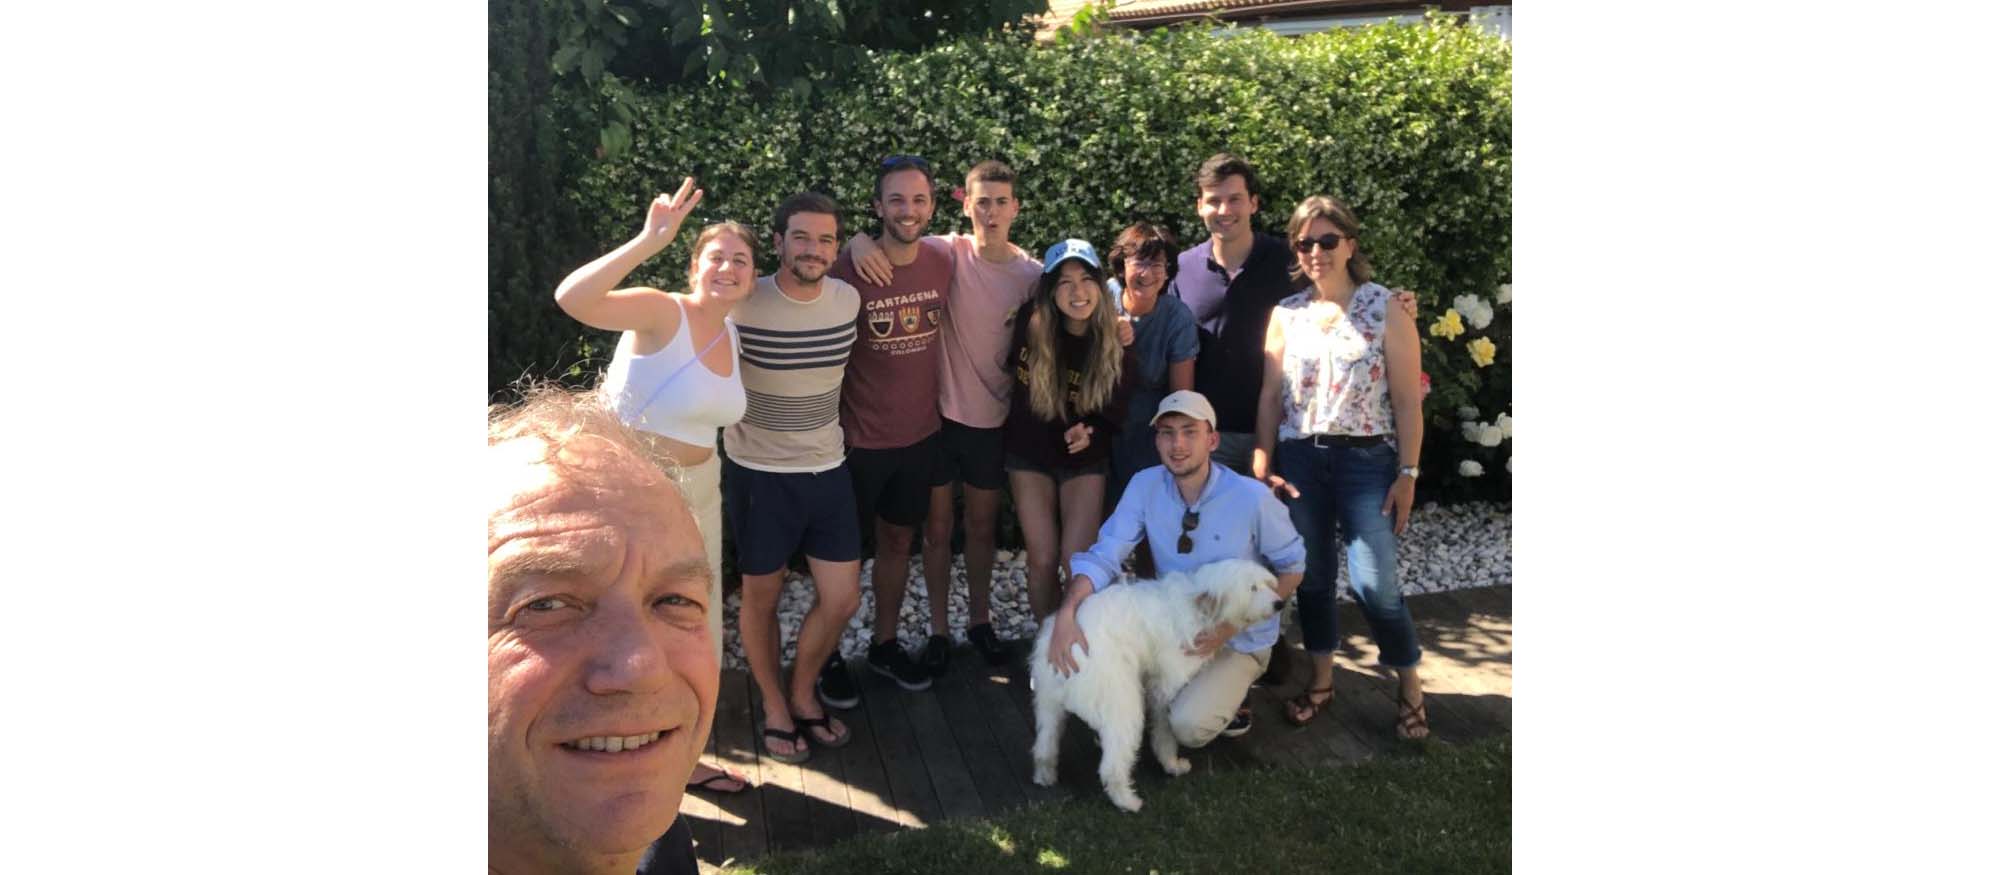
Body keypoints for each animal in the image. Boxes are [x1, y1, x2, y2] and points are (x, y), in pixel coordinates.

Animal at [1024, 555, 1288, 811]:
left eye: (1267, 584)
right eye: (1252, 588)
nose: (1280, 604)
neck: (1197, 606)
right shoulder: (1167, 687)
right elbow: (1165, 731)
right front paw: (1171, 764)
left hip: (1048, 705)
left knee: (1045, 743)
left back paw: (1044, 774)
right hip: (1122, 703)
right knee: (1112, 765)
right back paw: (1126, 801)